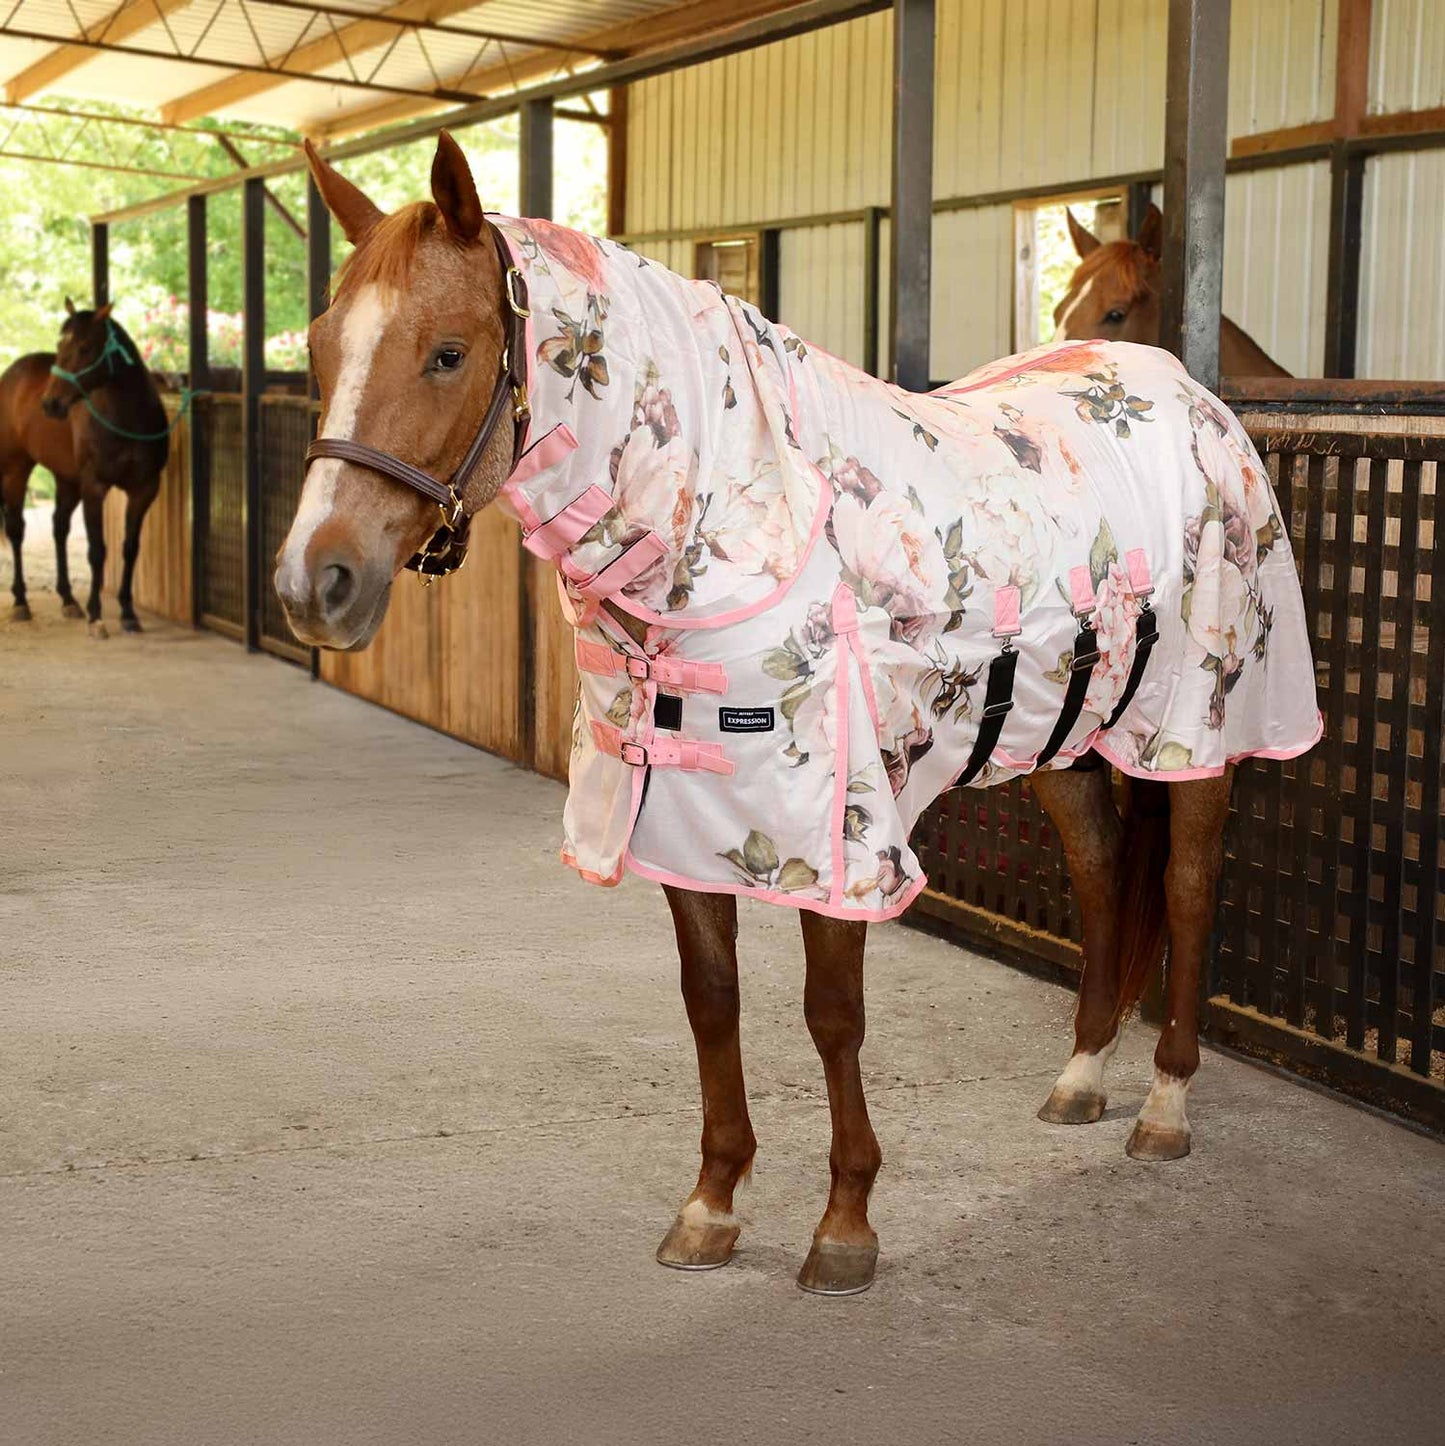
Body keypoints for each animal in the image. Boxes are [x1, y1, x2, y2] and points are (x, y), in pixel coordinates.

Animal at [0, 301, 170, 637]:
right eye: (60, 345)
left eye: (85, 347)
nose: (50, 404)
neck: (126, 419)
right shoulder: (95, 487)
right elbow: (97, 550)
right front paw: (96, 616)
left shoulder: (144, 489)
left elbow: (130, 548)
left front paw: (128, 613)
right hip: (15, 468)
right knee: (15, 530)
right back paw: (21, 602)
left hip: (67, 479)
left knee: (59, 527)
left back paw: (68, 599)